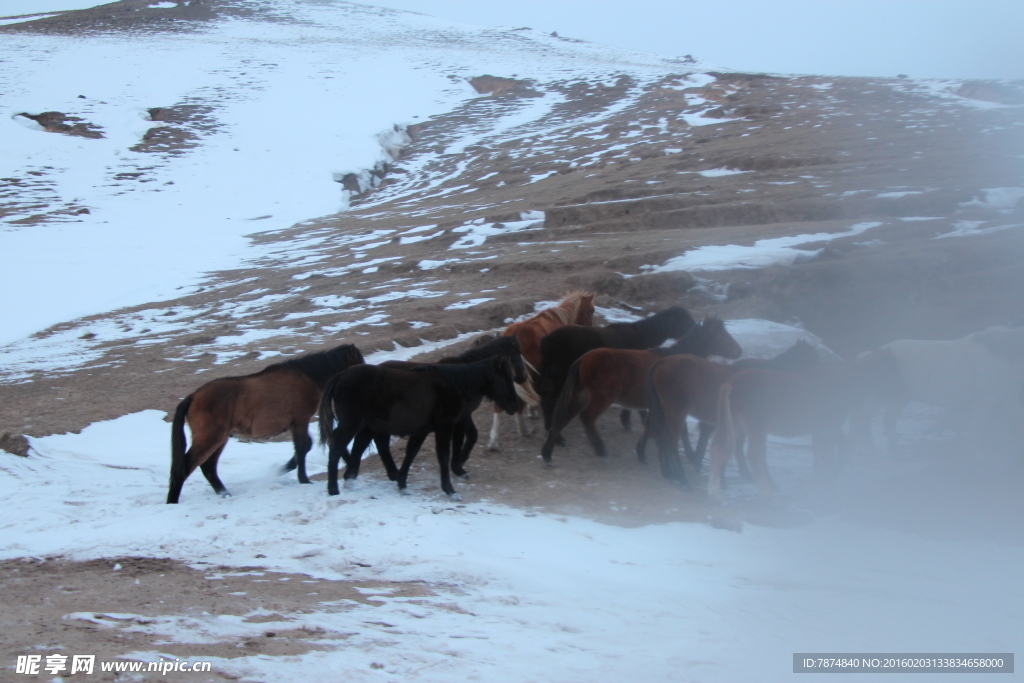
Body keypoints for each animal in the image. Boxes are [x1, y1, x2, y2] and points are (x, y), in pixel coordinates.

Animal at [163, 344, 364, 505]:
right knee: (185, 468)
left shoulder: (294, 424)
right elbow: (302, 447)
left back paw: (224, 493)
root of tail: (193, 397)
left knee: (208, 467)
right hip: (210, 438)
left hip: (219, 439)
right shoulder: (300, 420)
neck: (307, 376)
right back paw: (173, 502)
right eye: (359, 362)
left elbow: (304, 447)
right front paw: (303, 479)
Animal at [319, 356, 520, 499]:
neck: (455, 385)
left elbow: (411, 452)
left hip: (368, 425)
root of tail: (341, 375)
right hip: (353, 424)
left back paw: (351, 478)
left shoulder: (423, 429)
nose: (515, 405)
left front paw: (402, 484)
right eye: (504, 380)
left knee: (358, 446)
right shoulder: (444, 427)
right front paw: (450, 490)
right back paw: (333, 488)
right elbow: (443, 456)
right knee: (337, 448)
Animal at [489, 290, 598, 450]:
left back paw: (494, 441)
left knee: (499, 407)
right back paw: (523, 430)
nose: (590, 328)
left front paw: (533, 411)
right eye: (592, 310)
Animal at [540, 317, 741, 462]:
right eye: (722, 336)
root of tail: (582, 360)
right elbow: (680, 429)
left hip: (580, 396)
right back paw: (600, 449)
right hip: (601, 397)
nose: (738, 351)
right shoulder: (675, 405)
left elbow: (650, 425)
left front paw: (643, 452)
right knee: (586, 418)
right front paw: (689, 454)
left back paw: (548, 453)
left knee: (562, 418)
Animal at [856, 325, 1024, 456]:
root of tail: (868, 355)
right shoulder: (985, 399)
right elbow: (976, 430)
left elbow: (1018, 419)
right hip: (881, 396)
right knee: (868, 419)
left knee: (882, 421)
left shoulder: (1007, 397)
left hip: (893, 398)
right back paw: (873, 452)